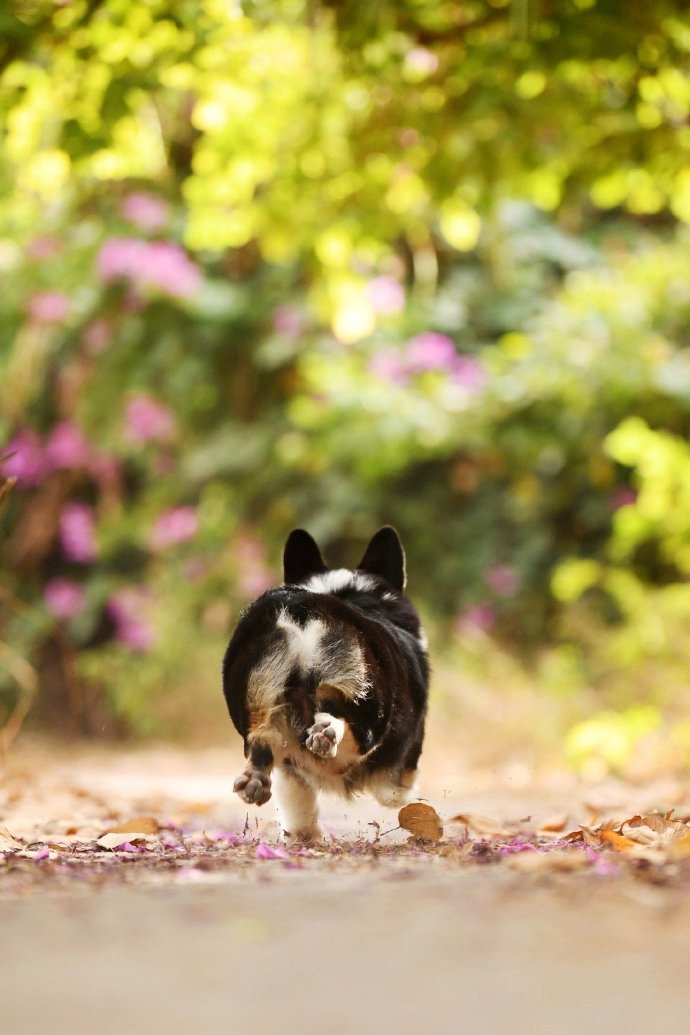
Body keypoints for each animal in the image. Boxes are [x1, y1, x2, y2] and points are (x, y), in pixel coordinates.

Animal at [221, 525, 428, 840]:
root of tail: (299, 604)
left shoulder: (289, 772)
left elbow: (296, 802)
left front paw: (304, 836)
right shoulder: (405, 755)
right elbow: (394, 793)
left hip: (254, 701)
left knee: (262, 741)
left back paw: (254, 780)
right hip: (368, 701)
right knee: (344, 723)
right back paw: (326, 734)